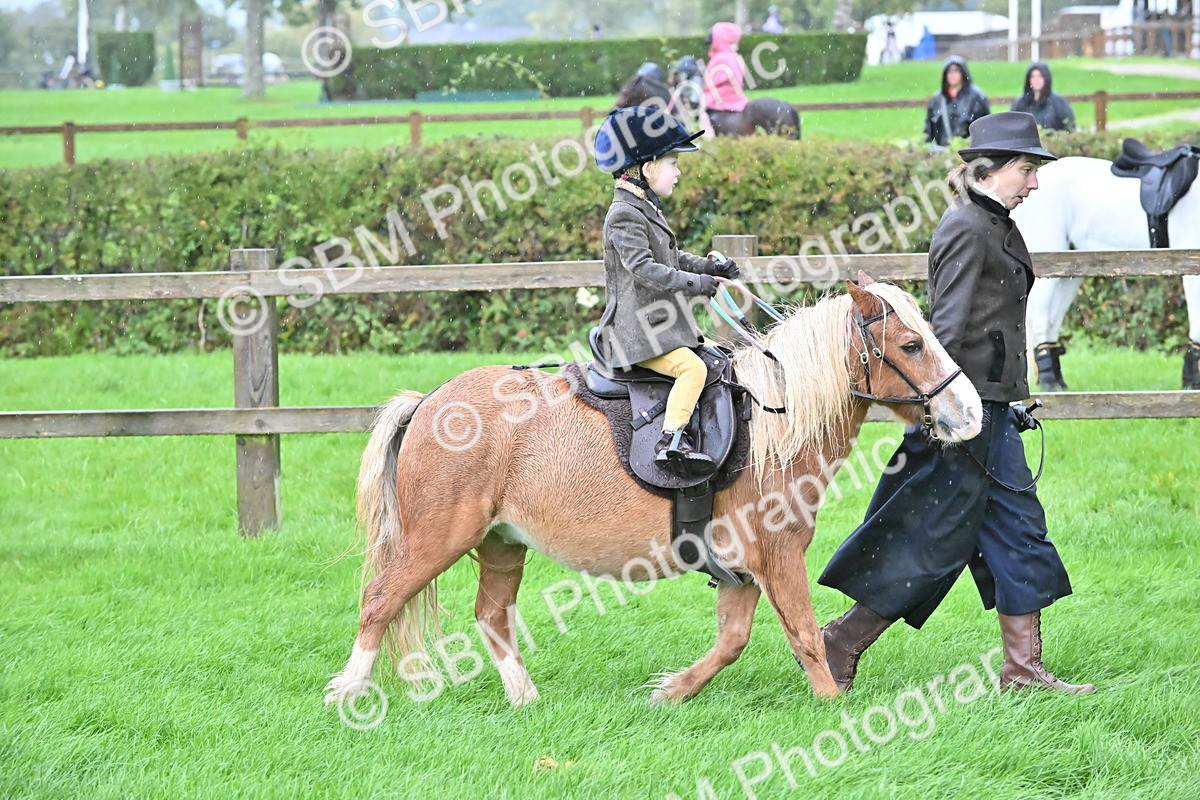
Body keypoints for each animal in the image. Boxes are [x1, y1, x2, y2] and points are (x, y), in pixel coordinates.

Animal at [323, 277, 982, 710]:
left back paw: (525, 698)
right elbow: (804, 636)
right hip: (439, 538)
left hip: (502, 542)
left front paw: (672, 690)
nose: (971, 412)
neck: (772, 424)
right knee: (381, 599)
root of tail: (430, 401)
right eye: (911, 345)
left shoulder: (741, 569)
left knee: (491, 615)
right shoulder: (779, 556)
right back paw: (349, 690)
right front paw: (833, 709)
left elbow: (732, 643)